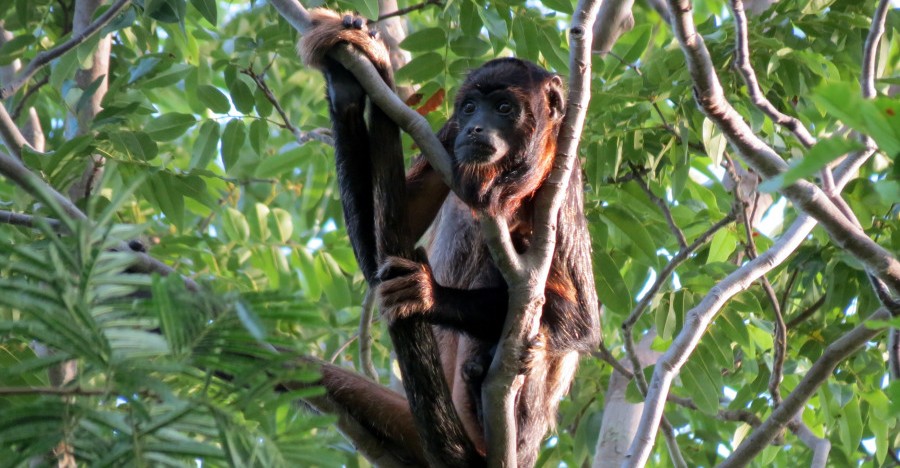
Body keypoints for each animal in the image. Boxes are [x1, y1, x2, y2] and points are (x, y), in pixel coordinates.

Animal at [298, 9, 600, 466]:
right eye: (471, 107)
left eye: (505, 108)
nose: (475, 128)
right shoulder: (446, 134)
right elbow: (382, 248)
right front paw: (348, 86)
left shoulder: (565, 178)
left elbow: (582, 320)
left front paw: (430, 295)